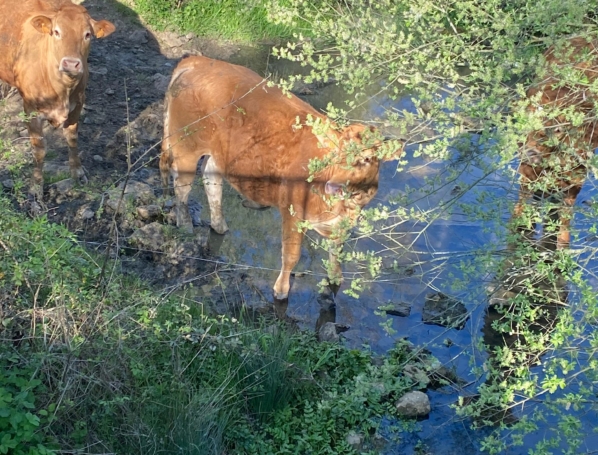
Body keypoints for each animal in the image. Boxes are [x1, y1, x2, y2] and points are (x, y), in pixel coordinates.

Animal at [0, 0, 115, 200]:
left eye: (87, 34)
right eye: (56, 32)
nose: (71, 63)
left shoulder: (78, 103)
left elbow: (72, 138)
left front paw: (77, 173)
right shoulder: (31, 109)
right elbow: (39, 148)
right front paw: (36, 186)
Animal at [161, 55, 404, 302]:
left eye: (366, 159)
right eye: (335, 153)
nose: (333, 185)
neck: (342, 206)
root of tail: (198, 60)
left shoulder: (341, 224)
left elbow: (336, 251)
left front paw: (335, 279)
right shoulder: (293, 211)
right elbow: (291, 254)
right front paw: (281, 290)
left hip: (219, 155)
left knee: (211, 179)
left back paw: (220, 225)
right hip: (185, 145)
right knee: (181, 187)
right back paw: (185, 225)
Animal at [516, 37, 598, 251]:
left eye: (557, 131)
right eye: (523, 125)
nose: (530, 153)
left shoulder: (575, 178)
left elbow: (564, 224)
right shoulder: (527, 175)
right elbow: (520, 215)